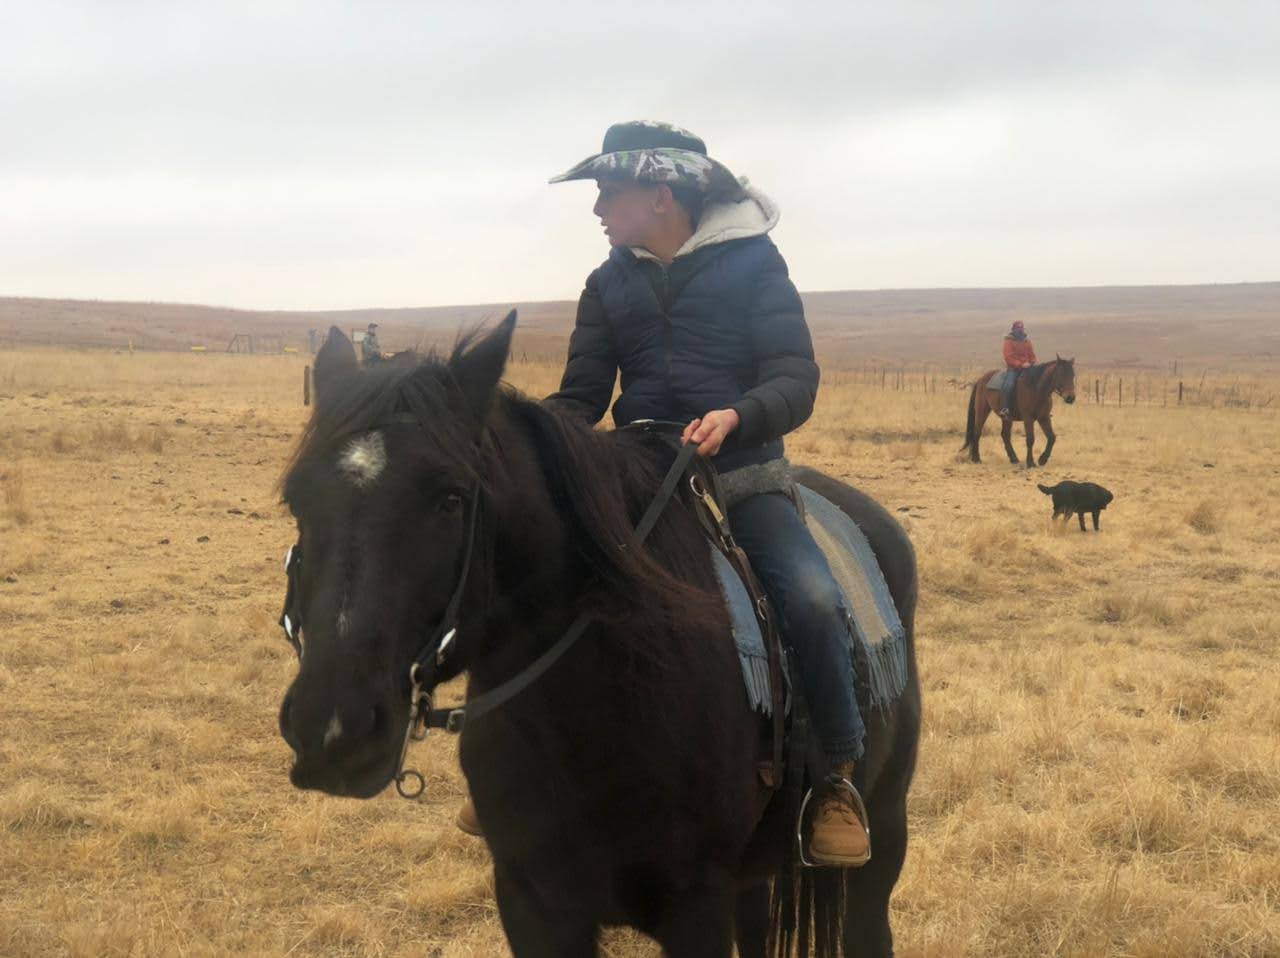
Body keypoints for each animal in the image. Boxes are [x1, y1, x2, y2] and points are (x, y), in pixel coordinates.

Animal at [275, 315, 921, 957]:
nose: (332, 729)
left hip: (883, 834)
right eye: (297, 498)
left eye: (451, 498)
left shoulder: (696, 908)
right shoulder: (533, 903)